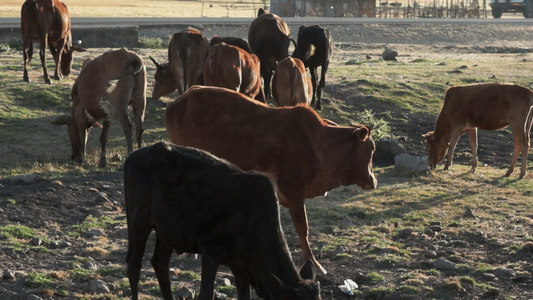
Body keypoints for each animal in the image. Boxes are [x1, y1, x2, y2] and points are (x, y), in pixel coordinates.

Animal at [123, 141, 320, 300]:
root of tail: (133, 156)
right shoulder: (210, 251)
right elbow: (205, 294)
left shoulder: (241, 267)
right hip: (139, 220)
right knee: (134, 264)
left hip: (167, 231)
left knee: (160, 263)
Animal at [164, 85, 376, 274]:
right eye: (372, 148)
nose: (372, 180)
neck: (321, 143)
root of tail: (177, 102)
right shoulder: (292, 190)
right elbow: (302, 228)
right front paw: (313, 262)